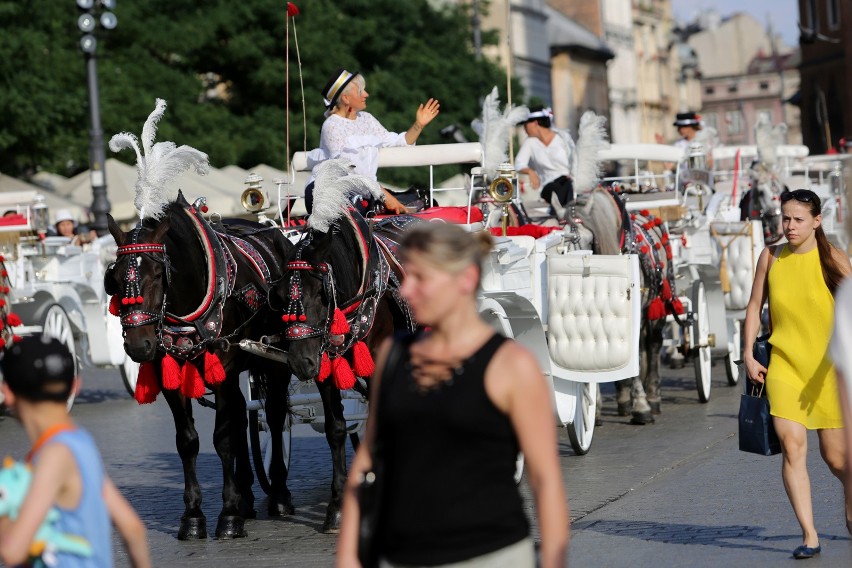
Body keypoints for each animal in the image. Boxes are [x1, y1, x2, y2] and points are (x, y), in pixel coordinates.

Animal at [106, 195, 294, 540]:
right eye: (114, 279)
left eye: (157, 273)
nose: (139, 346)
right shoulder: (170, 376)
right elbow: (188, 441)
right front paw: (193, 516)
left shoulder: (223, 371)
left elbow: (222, 438)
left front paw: (229, 515)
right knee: (241, 417)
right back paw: (246, 496)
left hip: (276, 359)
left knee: (274, 417)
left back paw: (278, 494)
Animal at [272, 207, 418, 532]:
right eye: (280, 296)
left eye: (320, 293)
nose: (300, 362)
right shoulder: (325, 367)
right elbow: (335, 429)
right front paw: (337, 507)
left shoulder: (377, 365)